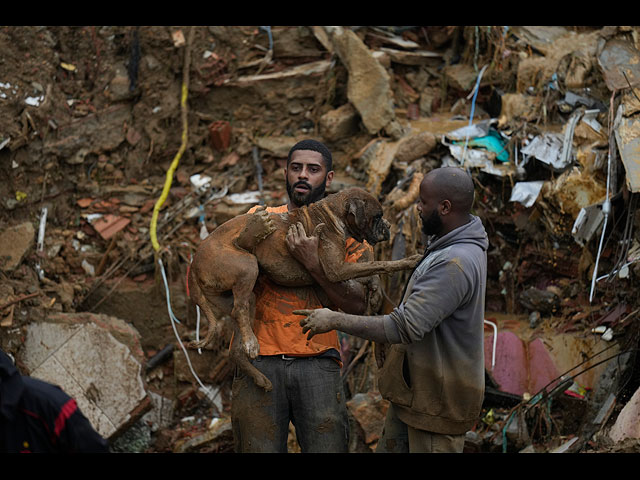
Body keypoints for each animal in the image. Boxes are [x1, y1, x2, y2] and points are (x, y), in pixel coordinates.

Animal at [188, 188, 422, 390]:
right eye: (377, 216)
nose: (389, 226)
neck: (332, 214)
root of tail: (194, 259)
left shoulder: (337, 274)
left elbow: (369, 272)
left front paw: (375, 291)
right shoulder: (336, 270)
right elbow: (378, 264)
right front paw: (407, 261)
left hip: (240, 296)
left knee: (236, 344)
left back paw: (259, 376)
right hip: (247, 265)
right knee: (239, 309)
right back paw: (252, 345)